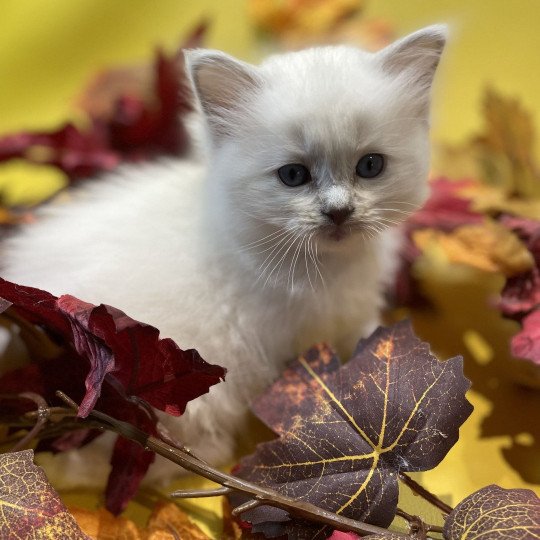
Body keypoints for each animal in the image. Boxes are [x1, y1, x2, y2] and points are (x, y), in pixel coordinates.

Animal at [1, 25, 448, 488]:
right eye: (293, 175)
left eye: (370, 166)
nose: (339, 211)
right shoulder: (298, 339)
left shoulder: (352, 313)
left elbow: (369, 340)